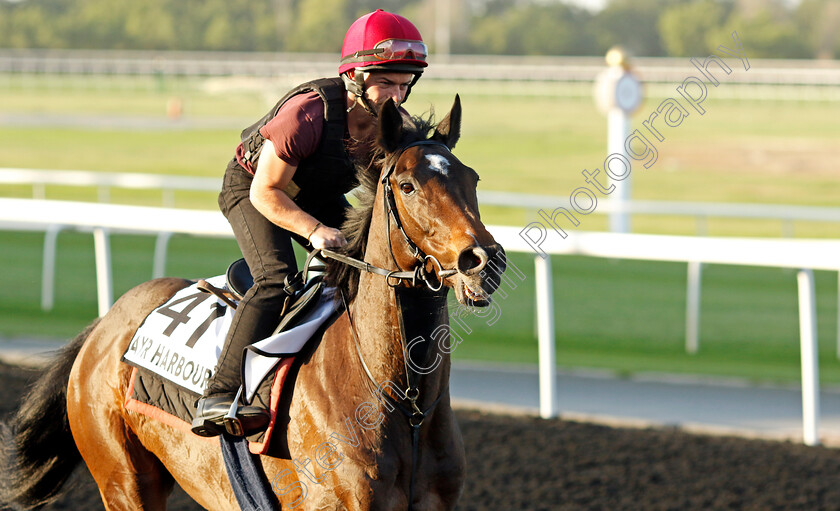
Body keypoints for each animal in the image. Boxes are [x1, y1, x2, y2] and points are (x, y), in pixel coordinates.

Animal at [0, 97, 506, 511]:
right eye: (407, 185)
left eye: (473, 177)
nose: (484, 259)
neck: (404, 402)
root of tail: (106, 324)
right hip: (124, 482)